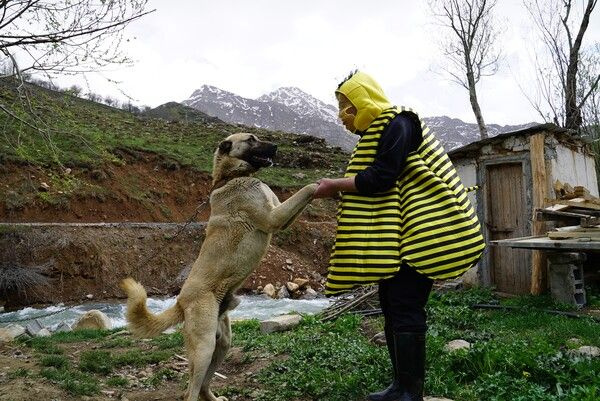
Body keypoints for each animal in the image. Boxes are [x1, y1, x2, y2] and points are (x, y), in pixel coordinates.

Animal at [119, 133, 316, 398]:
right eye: (251, 139)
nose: (276, 147)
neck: (231, 177)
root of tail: (180, 301)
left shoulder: (281, 215)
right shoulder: (274, 218)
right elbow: (309, 188)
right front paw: (327, 184)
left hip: (222, 344)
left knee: (203, 386)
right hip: (204, 347)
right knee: (190, 392)